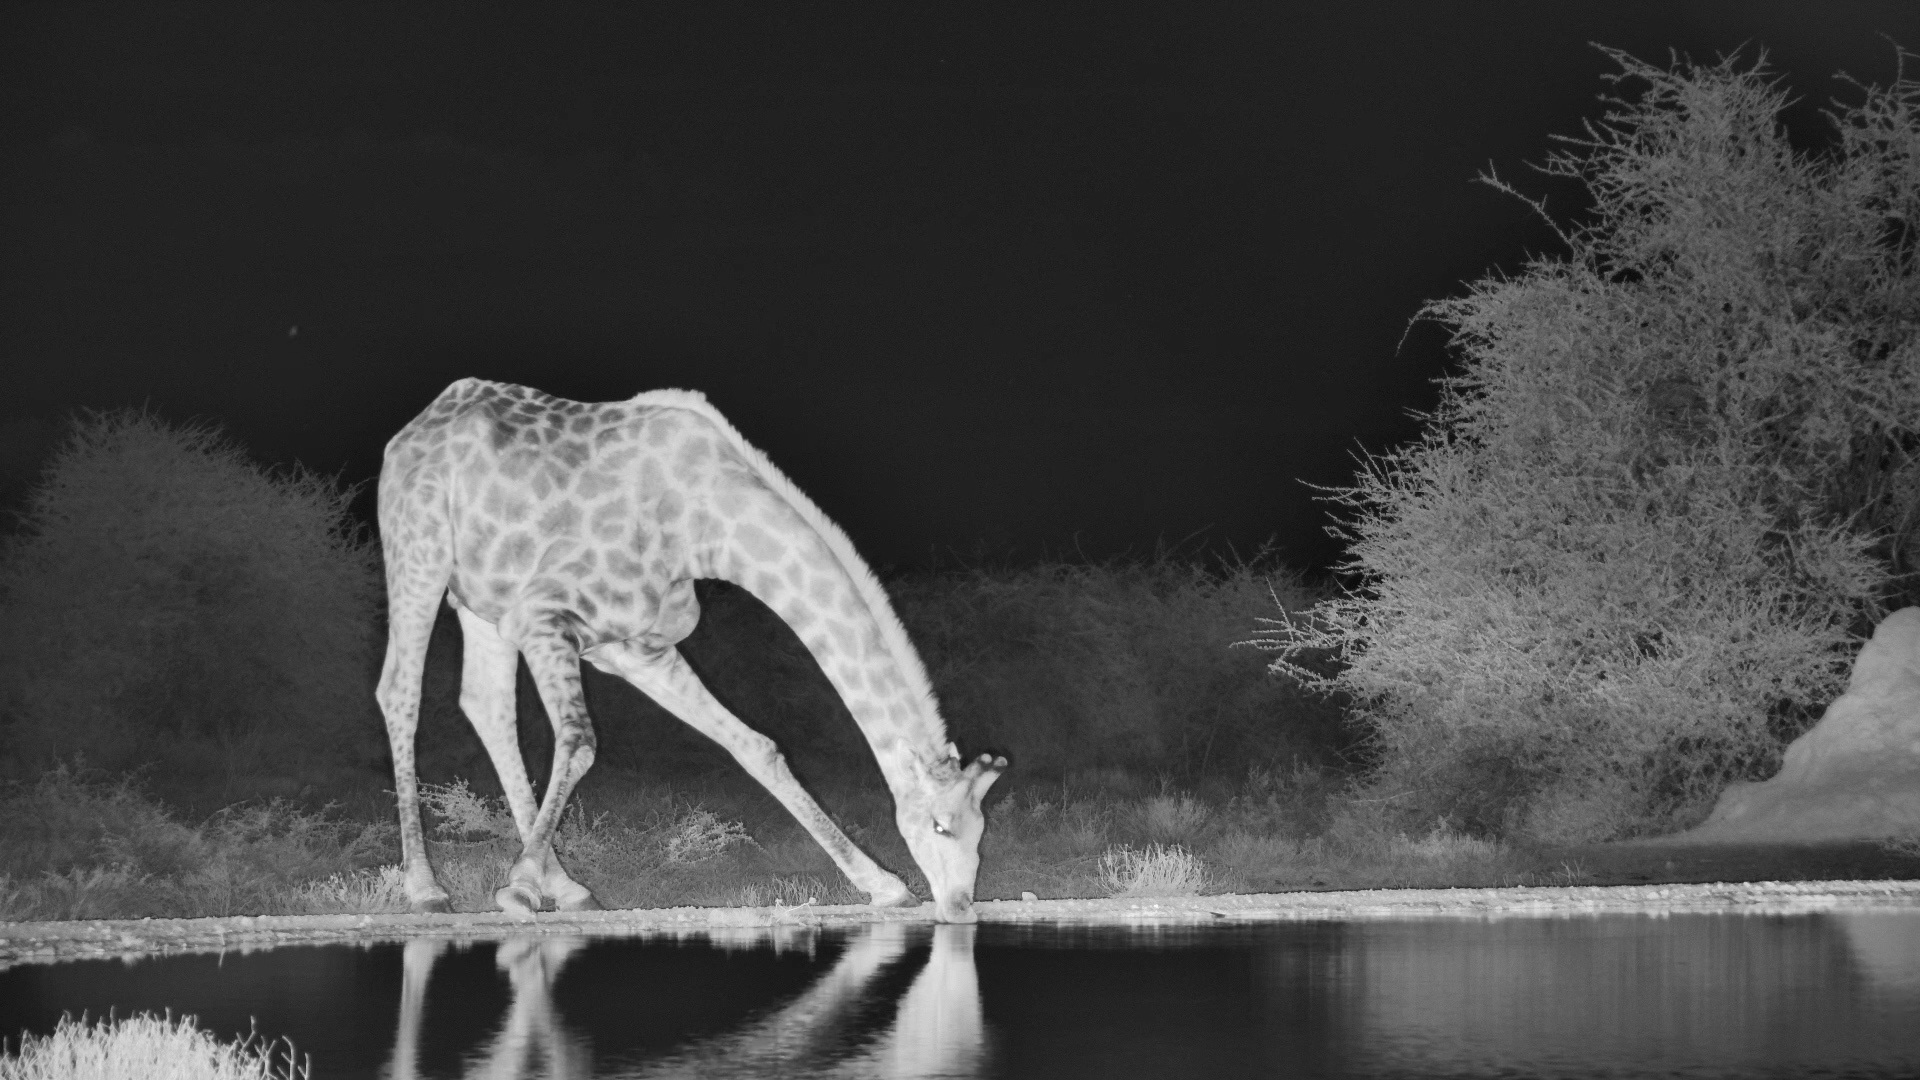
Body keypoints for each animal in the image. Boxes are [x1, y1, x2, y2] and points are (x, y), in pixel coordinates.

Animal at [375, 378, 1006, 923]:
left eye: (982, 831)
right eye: (941, 826)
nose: (959, 906)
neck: (709, 527)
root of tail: (415, 426)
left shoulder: (637, 650)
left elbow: (758, 747)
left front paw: (883, 886)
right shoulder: (543, 614)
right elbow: (580, 740)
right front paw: (519, 888)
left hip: (481, 600)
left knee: (486, 706)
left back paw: (570, 888)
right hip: (419, 548)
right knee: (400, 692)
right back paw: (429, 891)